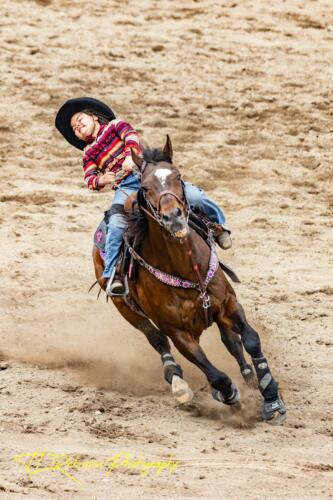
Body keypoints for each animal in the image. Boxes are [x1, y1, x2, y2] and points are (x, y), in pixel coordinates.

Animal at [92, 136, 286, 422]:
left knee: (232, 343)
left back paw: (249, 379)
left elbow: (251, 340)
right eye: (145, 187)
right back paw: (179, 385)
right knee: (157, 341)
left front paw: (271, 398)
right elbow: (214, 374)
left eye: (178, 176)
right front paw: (230, 396)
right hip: (127, 310)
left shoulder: (228, 304)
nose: (173, 216)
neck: (185, 267)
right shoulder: (178, 332)